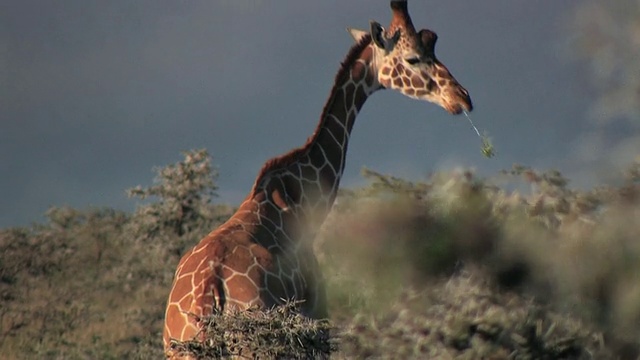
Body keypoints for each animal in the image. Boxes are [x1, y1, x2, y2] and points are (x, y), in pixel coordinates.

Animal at [162, 1, 472, 358]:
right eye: (413, 58)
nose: (462, 98)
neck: (301, 199)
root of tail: (206, 296)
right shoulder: (318, 320)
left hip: (178, 348)